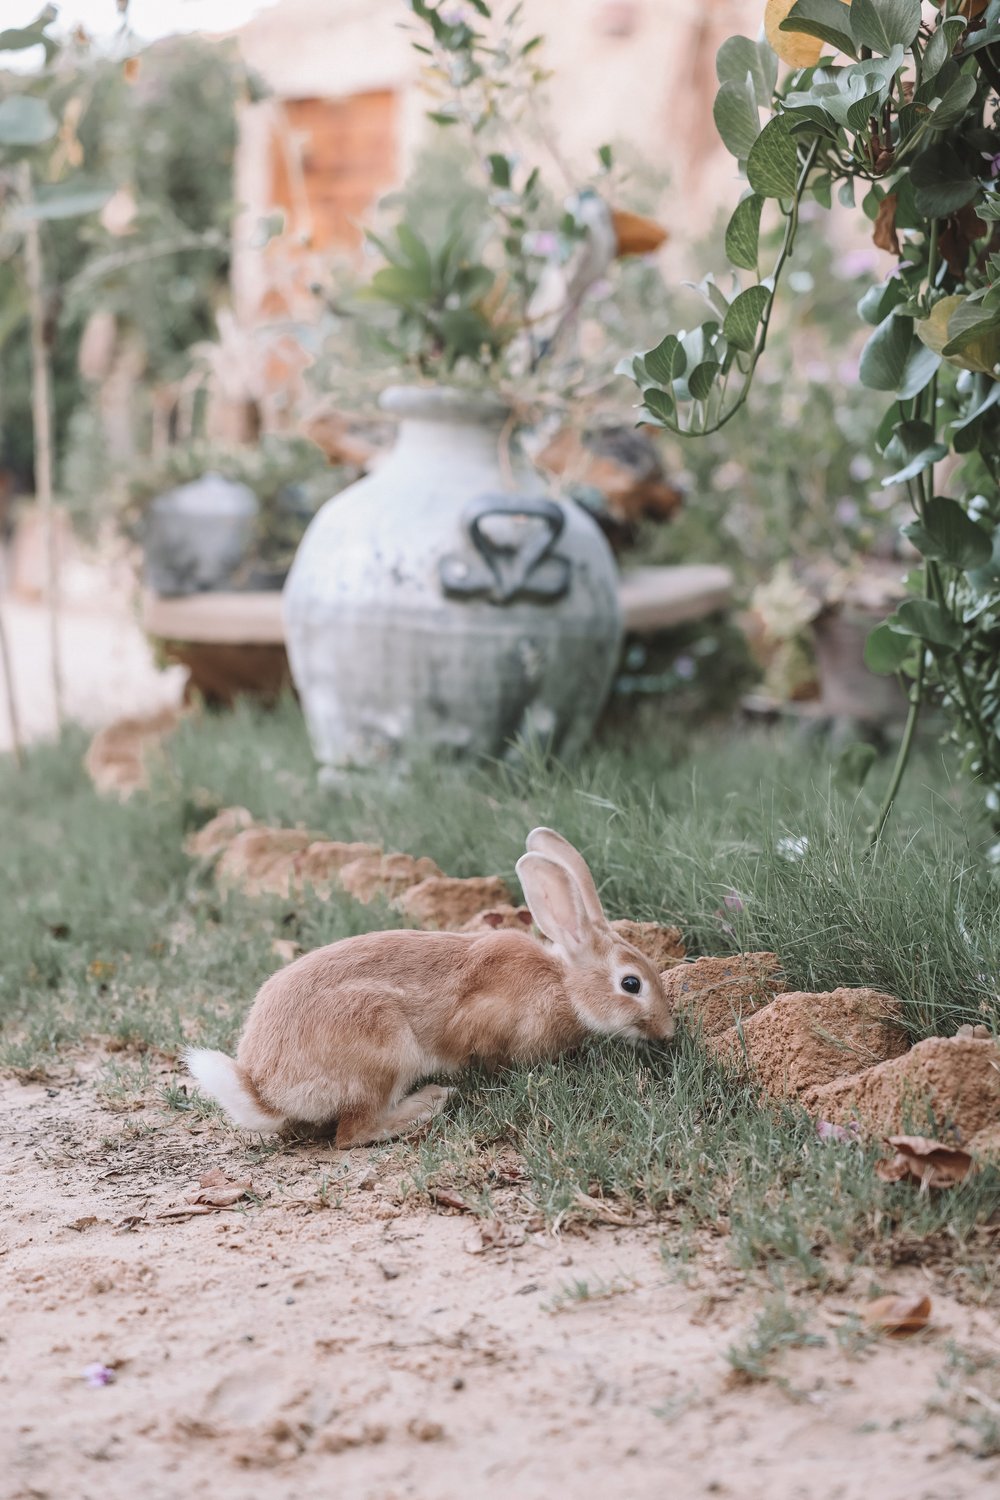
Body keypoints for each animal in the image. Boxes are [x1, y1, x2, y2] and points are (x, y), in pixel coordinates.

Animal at [183, 828, 677, 1140]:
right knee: (352, 1133)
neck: (564, 985)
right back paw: (431, 1102)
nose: (669, 1032)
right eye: (631, 984)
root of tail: (264, 1089)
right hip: (384, 1047)